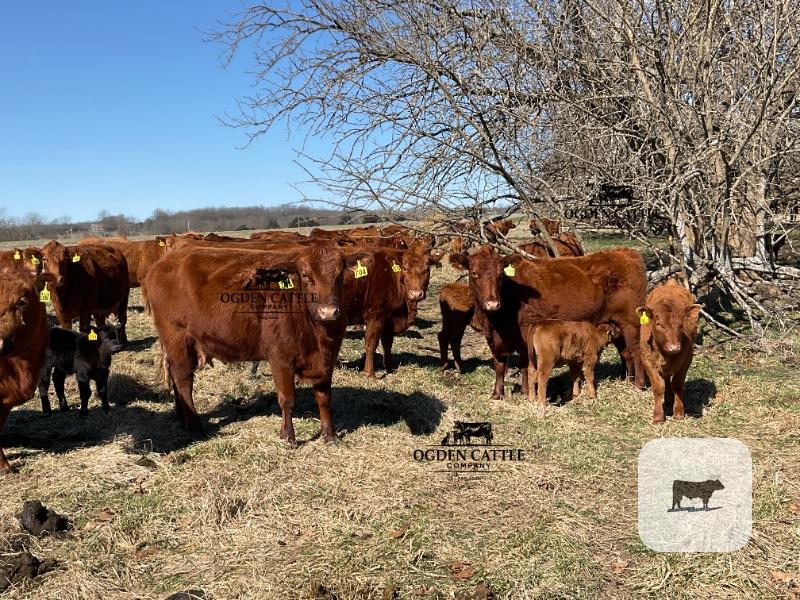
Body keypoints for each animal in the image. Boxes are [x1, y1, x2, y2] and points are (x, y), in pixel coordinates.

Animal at [145, 242, 373, 444]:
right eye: (306, 276)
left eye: (340, 276)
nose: (329, 312)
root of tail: (166, 261)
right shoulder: (280, 359)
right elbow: (287, 399)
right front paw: (288, 436)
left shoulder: (327, 360)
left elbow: (324, 398)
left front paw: (330, 436)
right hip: (177, 338)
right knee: (183, 379)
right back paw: (194, 425)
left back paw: (181, 418)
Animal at [450, 246, 647, 399]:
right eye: (474, 273)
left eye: (500, 275)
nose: (492, 303)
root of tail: (626, 252)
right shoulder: (494, 339)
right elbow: (499, 366)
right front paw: (497, 394)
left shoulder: (525, 335)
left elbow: (524, 365)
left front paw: (525, 392)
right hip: (615, 325)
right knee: (625, 353)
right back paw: (625, 379)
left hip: (631, 322)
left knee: (636, 352)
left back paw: (638, 384)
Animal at [637, 279, 702, 423]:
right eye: (658, 324)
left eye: (681, 324)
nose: (674, 347)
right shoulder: (646, 359)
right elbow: (658, 386)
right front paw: (658, 416)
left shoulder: (686, 359)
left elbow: (677, 384)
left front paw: (678, 412)